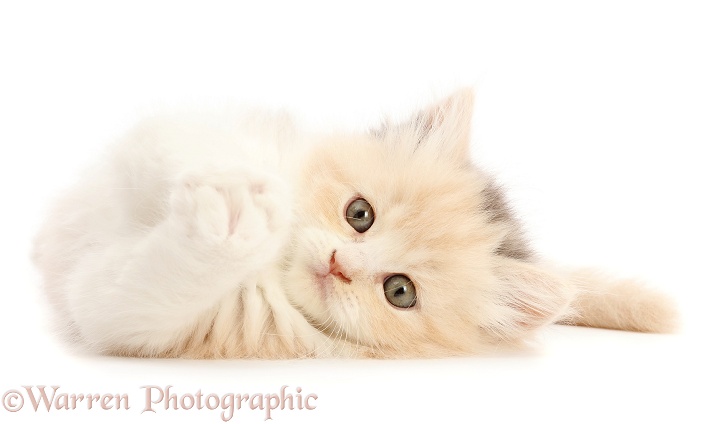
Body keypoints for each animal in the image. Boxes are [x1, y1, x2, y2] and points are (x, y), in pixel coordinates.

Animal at [29, 88, 680, 358]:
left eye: (400, 292)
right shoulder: (178, 134)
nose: (341, 265)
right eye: (359, 215)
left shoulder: (130, 317)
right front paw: (245, 192)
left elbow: (152, 284)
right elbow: (174, 149)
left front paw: (237, 220)